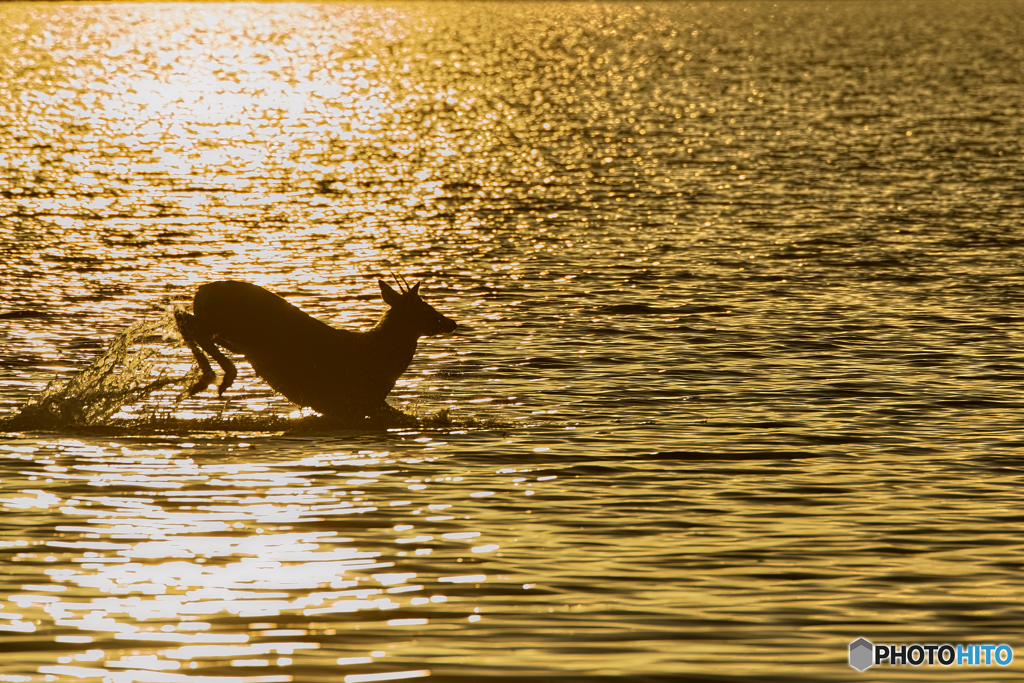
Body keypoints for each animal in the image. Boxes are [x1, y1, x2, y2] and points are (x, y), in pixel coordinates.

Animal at [175, 278, 456, 421]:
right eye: (424, 309)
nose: (451, 323)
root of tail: (201, 291)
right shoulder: (359, 400)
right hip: (230, 326)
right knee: (187, 321)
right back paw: (218, 378)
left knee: (184, 320)